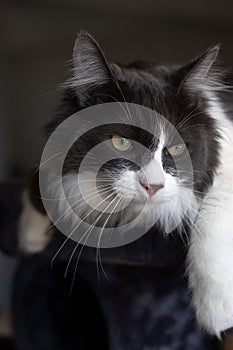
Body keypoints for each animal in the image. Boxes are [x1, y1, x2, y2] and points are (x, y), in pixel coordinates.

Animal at [18, 31, 233, 338]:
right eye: (121, 142)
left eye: (177, 148)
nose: (153, 185)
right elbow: (41, 176)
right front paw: (30, 236)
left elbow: (213, 213)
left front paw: (218, 310)